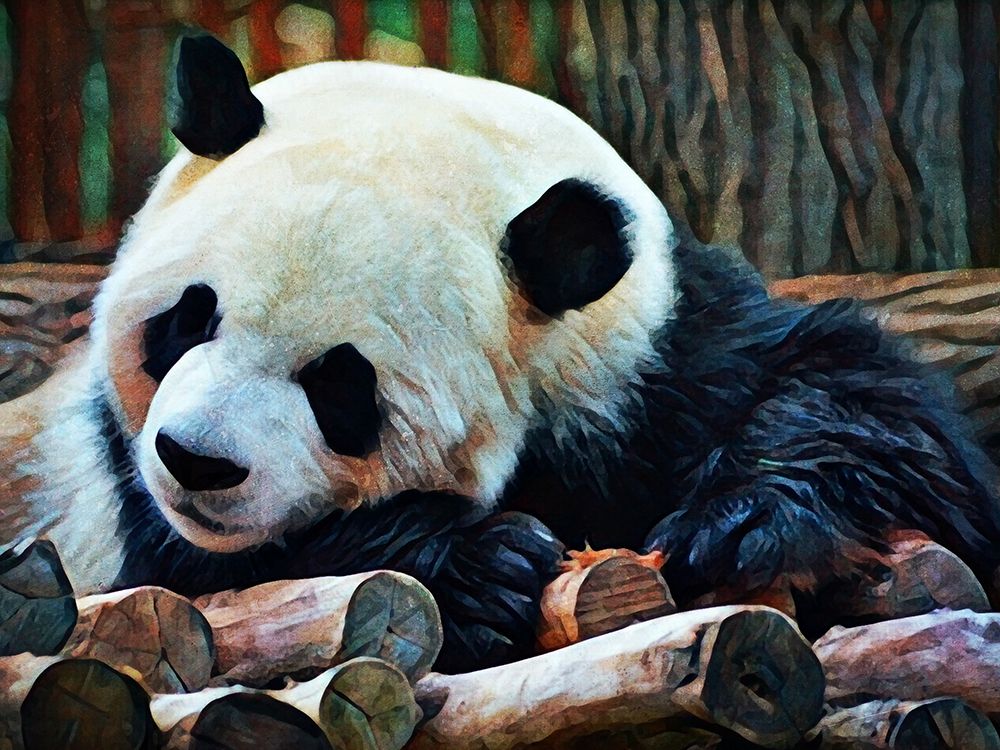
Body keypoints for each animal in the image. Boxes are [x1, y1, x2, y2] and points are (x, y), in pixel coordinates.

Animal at [2, 35, 1000, 671]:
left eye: (339, 385)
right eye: (188, 319)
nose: (196, 462)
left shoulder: (656, 356)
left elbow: (875, 411)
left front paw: (742, 525)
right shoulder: (123, 505)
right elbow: (219, 569)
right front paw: (486, 566)